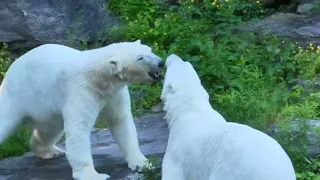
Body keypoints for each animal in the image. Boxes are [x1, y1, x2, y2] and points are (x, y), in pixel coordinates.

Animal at [0, 39, 165, 180]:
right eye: (140, 58)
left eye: (149, 50)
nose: (161, 62)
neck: (101, 78)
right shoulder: (82, 89)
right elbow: (79, 128)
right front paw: (94, 175)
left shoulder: (114, 94)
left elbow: (121, 122)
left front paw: (142, 163)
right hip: (18, 93)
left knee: (49, 129)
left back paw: (51, 151)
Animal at [159, 53, 296, 180]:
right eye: (186, 62)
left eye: (176, 64)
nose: (172, 56)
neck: (190, 108)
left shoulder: (178, 151)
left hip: (233, 171)